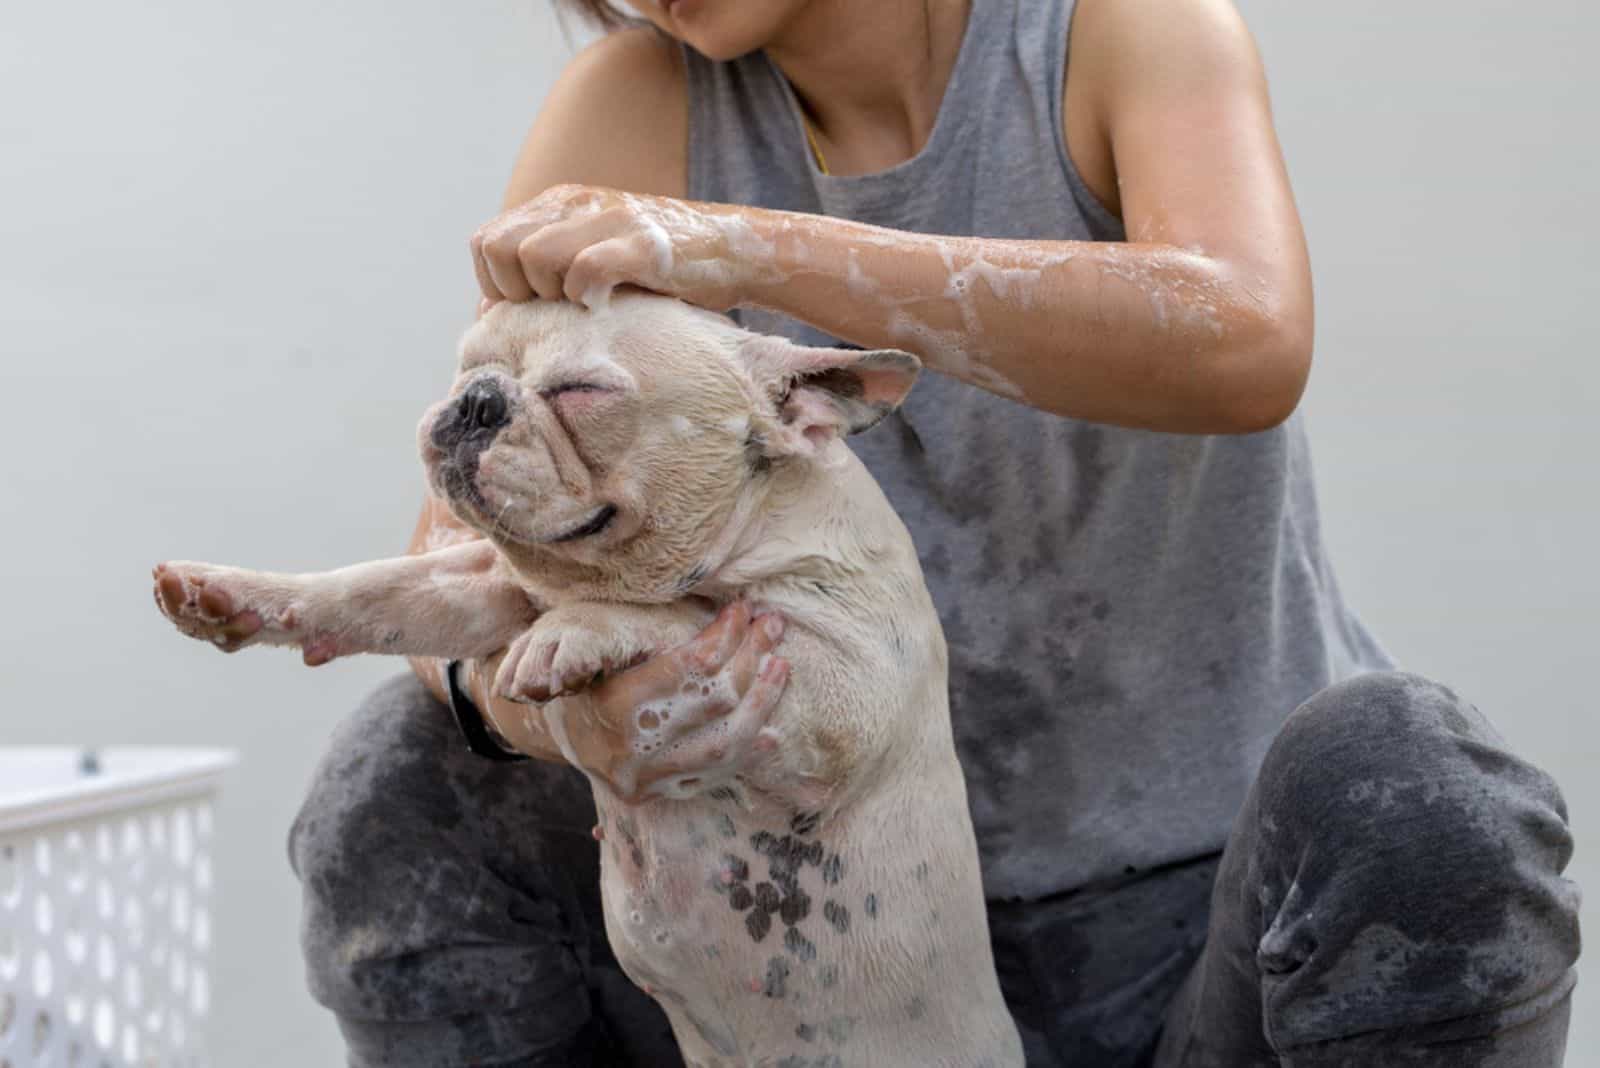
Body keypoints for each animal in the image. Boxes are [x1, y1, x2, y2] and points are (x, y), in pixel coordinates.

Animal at [152, 294, 1024, 1068]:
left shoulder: (836, 689)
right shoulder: (480, 585)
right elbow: (375, 589)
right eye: (468, 366)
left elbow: (679, 611)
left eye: (582, 392)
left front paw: (575, 631)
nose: (476, 400)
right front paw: (233, 591)